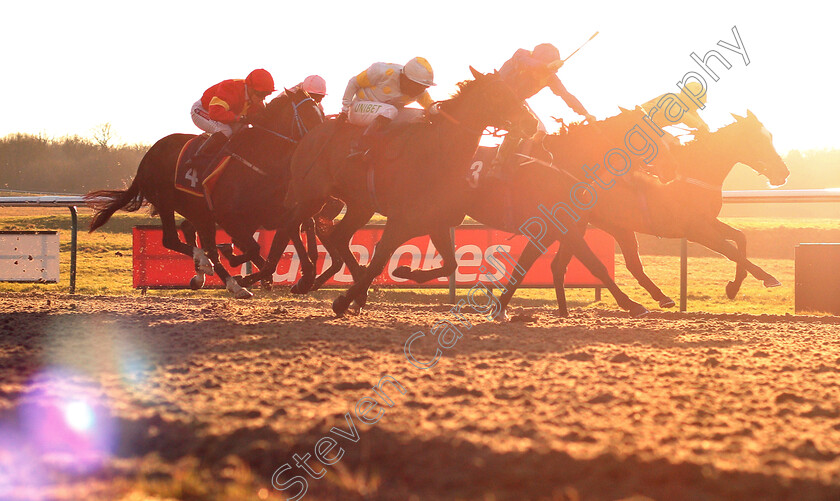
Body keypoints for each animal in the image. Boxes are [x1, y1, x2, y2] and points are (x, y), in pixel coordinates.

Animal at [83, 89, 324, 296]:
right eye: (308, 114)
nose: (321, 139)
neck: (258, 163)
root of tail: (148, 156)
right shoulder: (229, 217)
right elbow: (249, 248)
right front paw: (238, 266)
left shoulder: (277, 215)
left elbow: (283, 247)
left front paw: (301, 279)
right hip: (167, 202)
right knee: (173, 240)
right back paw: (216, 272)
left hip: (196, 209)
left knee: (189, 230)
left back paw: (213, 275)